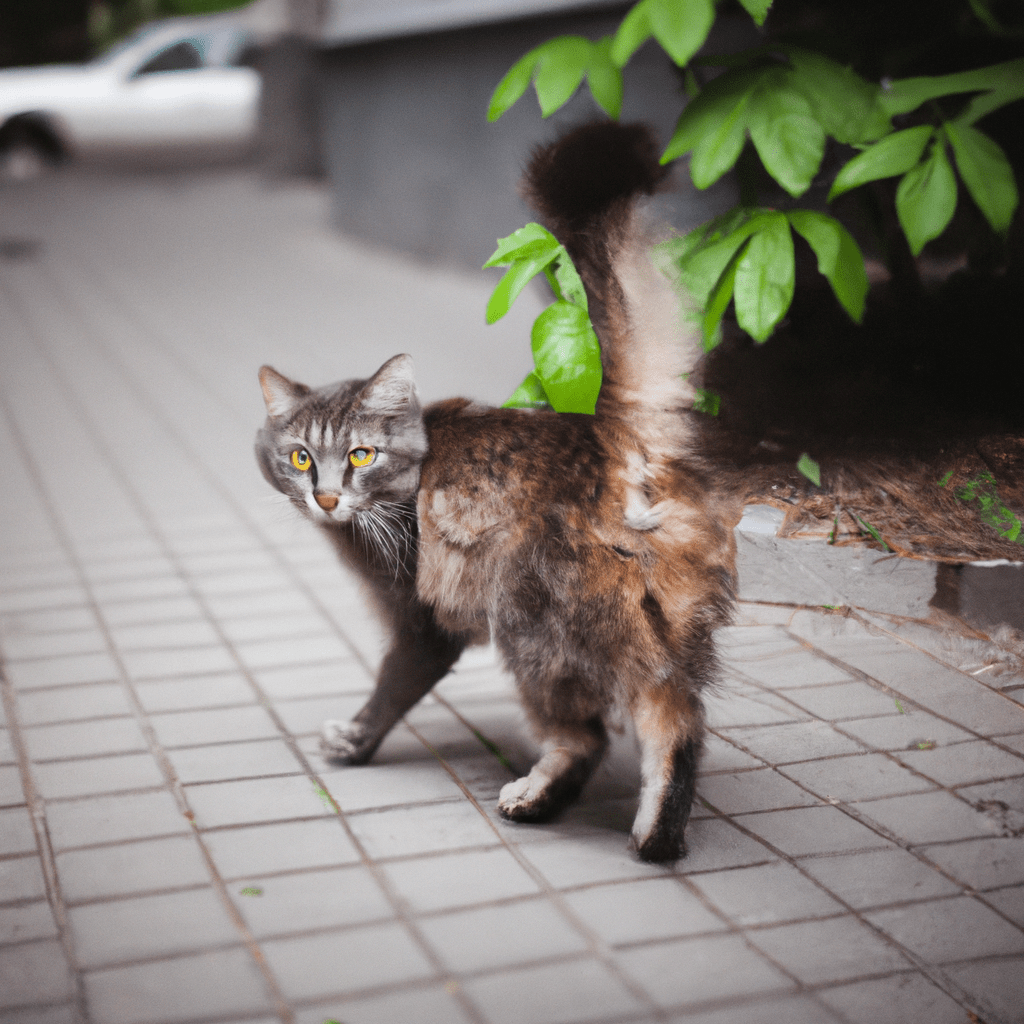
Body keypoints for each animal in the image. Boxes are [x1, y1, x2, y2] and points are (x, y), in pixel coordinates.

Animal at [254, 121, 737, 864]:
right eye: (301, 457)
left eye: (361, 455)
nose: (327, 498)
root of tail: (613, 430)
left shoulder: (420, 623)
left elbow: (389, 689)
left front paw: (355, 743)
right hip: (655, 627)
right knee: (678, 716)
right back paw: (654, 834)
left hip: (535, 626)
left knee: (598, 733)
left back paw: (557, 806)